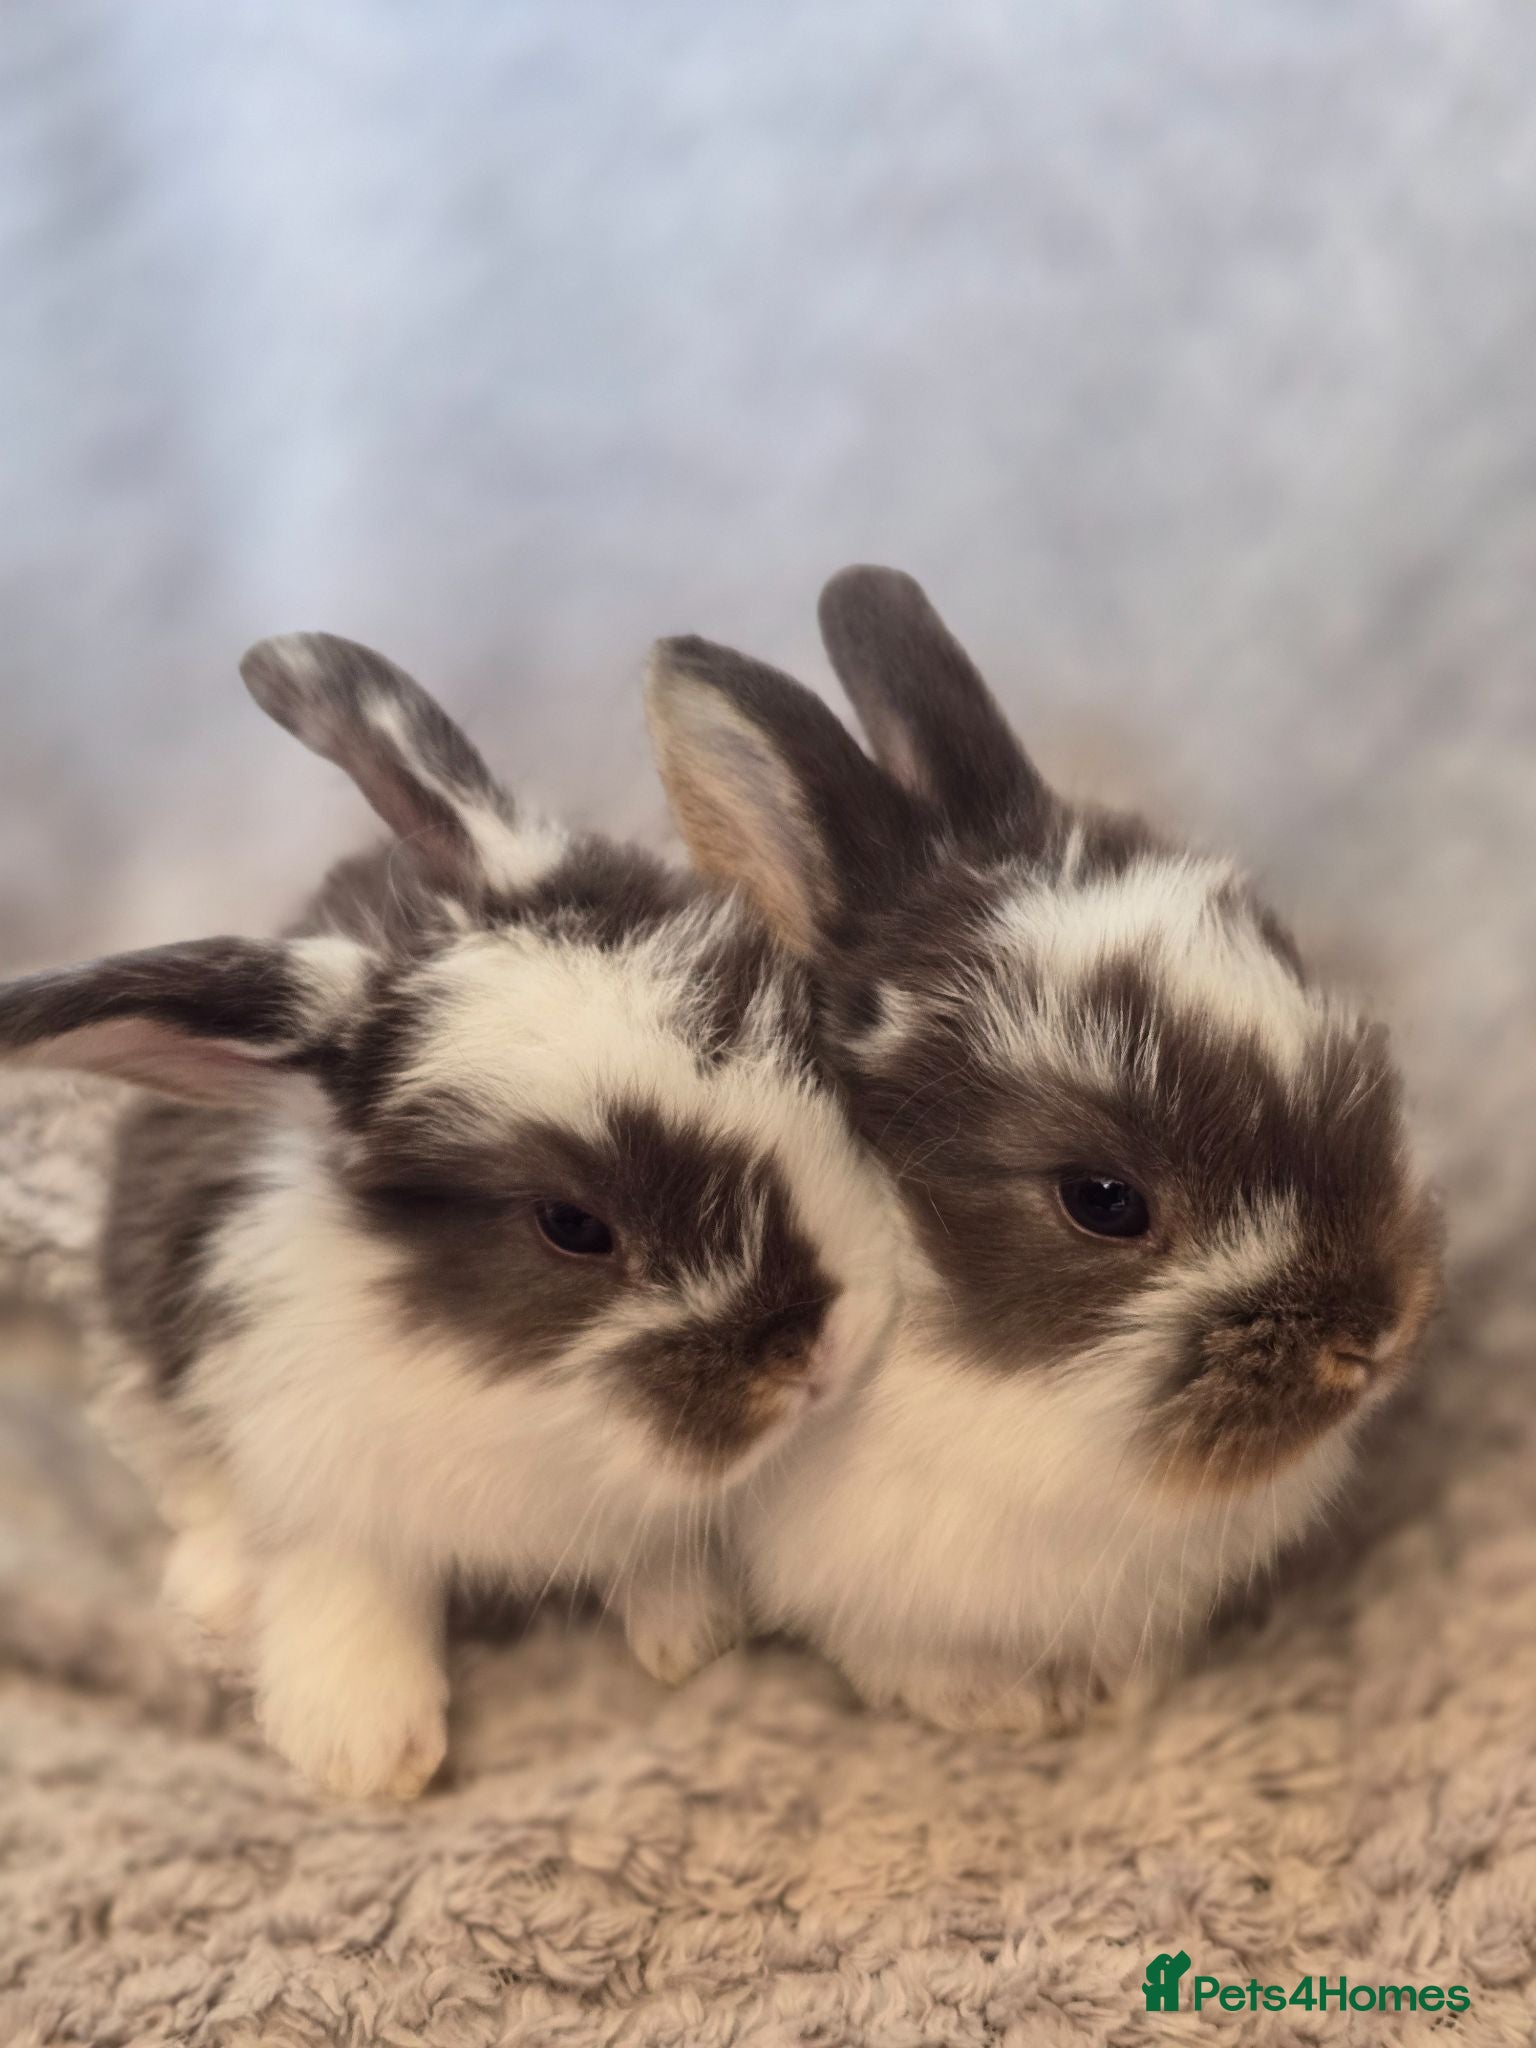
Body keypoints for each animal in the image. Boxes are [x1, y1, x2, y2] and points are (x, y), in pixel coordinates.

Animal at [0, 630, 901, 1797]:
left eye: (799, 1041)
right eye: (571, 1225)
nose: (821, 1353)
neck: (517, 1396)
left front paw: (692, 1635)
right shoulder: (312, 1454)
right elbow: (340, 1577)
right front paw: (361, 1749)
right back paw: (215, 1587)